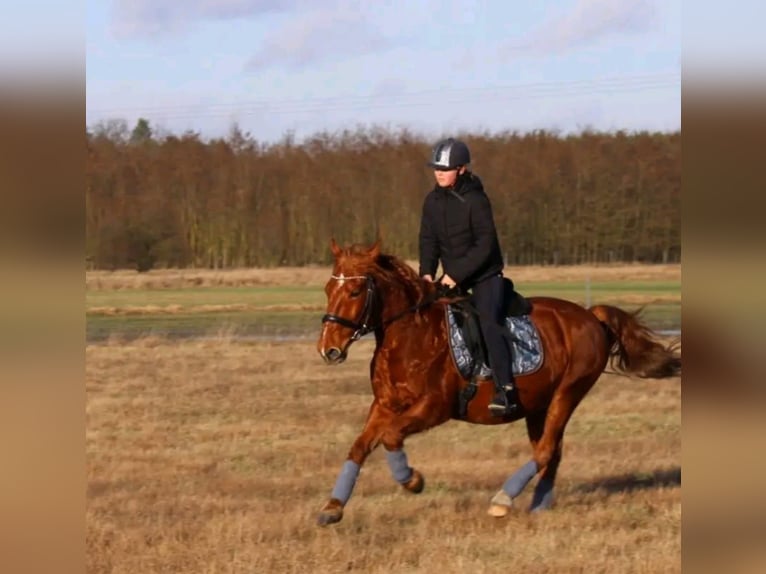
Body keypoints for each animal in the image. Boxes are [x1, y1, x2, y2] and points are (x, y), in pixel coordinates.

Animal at [316, 238, 680, 528]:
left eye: (355, 291)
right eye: (328, 290)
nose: (328, 349)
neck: (410, 336)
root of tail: (591, 316)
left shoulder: (433, 408)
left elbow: (391, 437)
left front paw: (412, 481)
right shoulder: (384, 405)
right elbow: (360, 446)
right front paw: (332, 508)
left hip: (568, 393)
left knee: (546, 449)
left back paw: (502, 500)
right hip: (539, 405)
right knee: (552, 451)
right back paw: (538, 505)